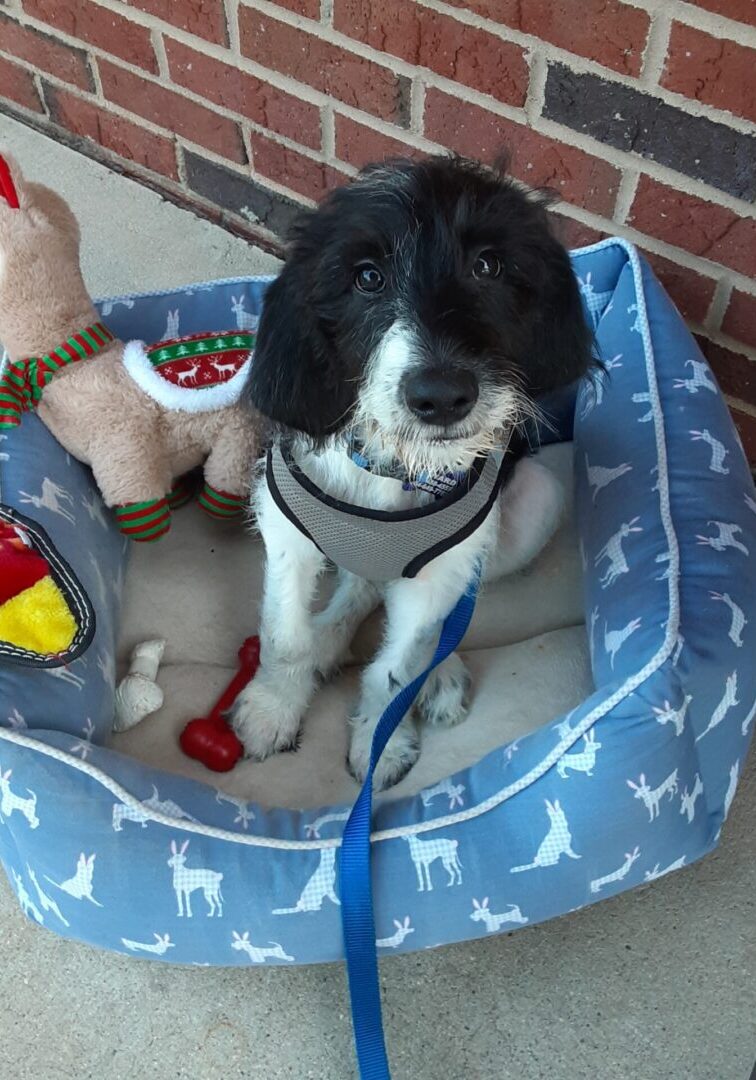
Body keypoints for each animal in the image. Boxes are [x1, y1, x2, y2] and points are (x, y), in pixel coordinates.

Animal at [233, 152, 591, 790]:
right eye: (367, 278)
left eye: (488, 265)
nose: (442, 396)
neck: (394, 464)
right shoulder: (286, 533)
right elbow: (284, 635)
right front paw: (272, 709)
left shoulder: (439, 571)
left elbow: (398, 668)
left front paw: (383, 741)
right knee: (362, 585)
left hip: (533, 506)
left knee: (432, 611)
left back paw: (437, 675)